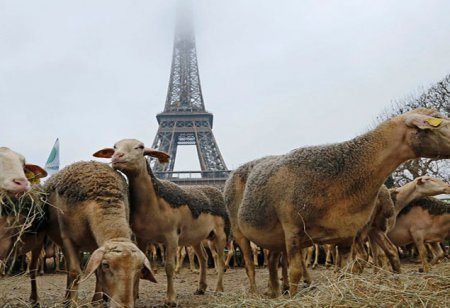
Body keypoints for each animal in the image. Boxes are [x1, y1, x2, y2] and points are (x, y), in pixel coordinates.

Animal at [43, 161, 156, 308]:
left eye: (139, 268)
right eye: (106, 265)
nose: (123, 306)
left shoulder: (95, 244)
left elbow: (96, 272)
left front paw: (96, 302)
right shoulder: (67, 238)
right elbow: (74, 272)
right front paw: (73, 303)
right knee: (69, 269)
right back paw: (67, 300)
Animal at [93, 138, 230, 306]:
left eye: (140, 147)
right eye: (114, 147)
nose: (117, 157)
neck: (155, 202)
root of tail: (214, 189)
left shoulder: (171, 236)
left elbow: (169, 267)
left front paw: (170, 299)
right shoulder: (142, 238)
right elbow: (141, 263)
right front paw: (135, 295)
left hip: (220, 234)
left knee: (220, 259)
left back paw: (219, 289)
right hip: (196, 237)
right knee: (203, 258)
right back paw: (201, 288)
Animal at [232, 109, 450, 296]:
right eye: (438, 121)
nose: (447, 187)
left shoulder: (347, 234)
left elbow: (351, 265)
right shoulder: (292, 229)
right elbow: (295, 271)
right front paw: (294, 297)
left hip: (273, 237)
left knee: (272, 261)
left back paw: (275, 291)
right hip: (239, 231)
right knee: (250, 264)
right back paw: (256, 291)